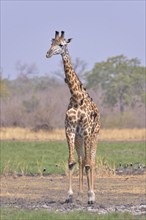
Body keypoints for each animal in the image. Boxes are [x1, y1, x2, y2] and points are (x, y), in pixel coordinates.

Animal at [46, 31, 100, 205]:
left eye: (62, 44)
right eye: (51, 43)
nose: (48, 54)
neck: (76, 97)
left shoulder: (87, 131)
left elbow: (89, 163)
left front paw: (91, 196)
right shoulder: (69, 129)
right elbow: (71, 162)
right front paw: (70, 195)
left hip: (94, 135)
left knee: (92, 161)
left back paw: (92, 193)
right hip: (79, 138)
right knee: (82, 159)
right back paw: (80, 192)